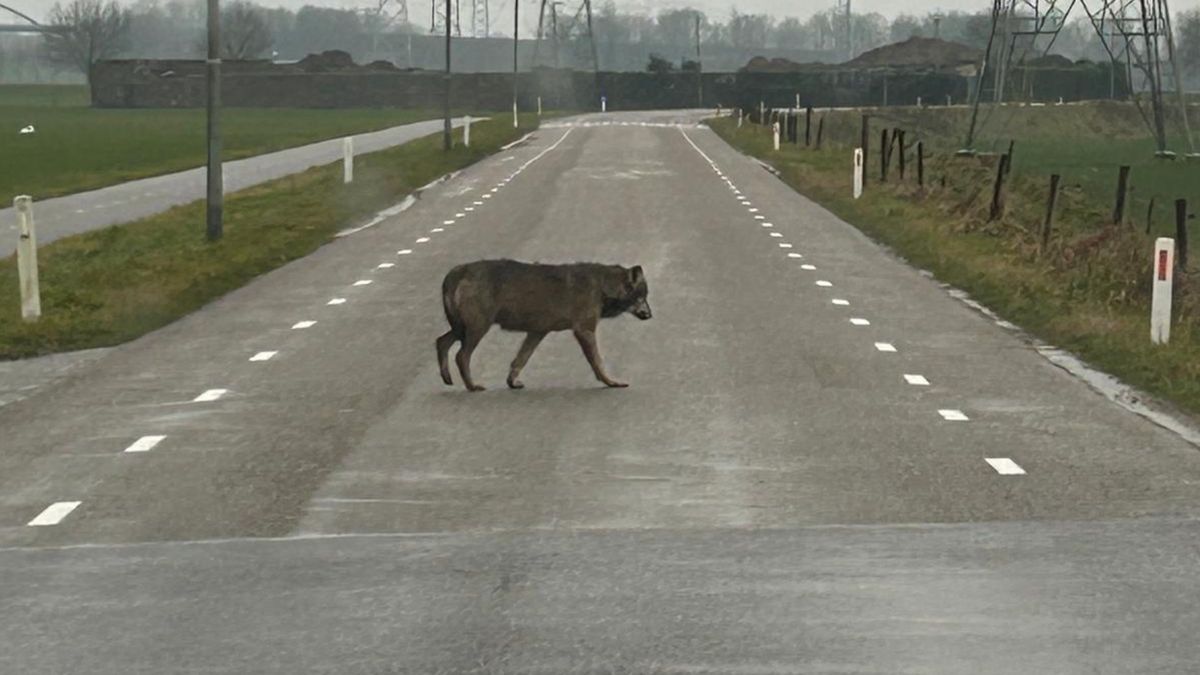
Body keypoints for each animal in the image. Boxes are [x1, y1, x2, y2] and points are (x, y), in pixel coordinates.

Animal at [436, 259, 652, 392]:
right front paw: (612, 382)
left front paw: (512, 382)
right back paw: (472, 386)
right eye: (642, 296)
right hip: (477, 328)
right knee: (461, 355)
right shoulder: (584, 330)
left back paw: (447, 379)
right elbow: (598, 362)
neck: (602, 287)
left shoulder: (538, 332)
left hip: (462, 329)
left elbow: (520, 360)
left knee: (441, 341)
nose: (650, 315)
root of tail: (456, 271)